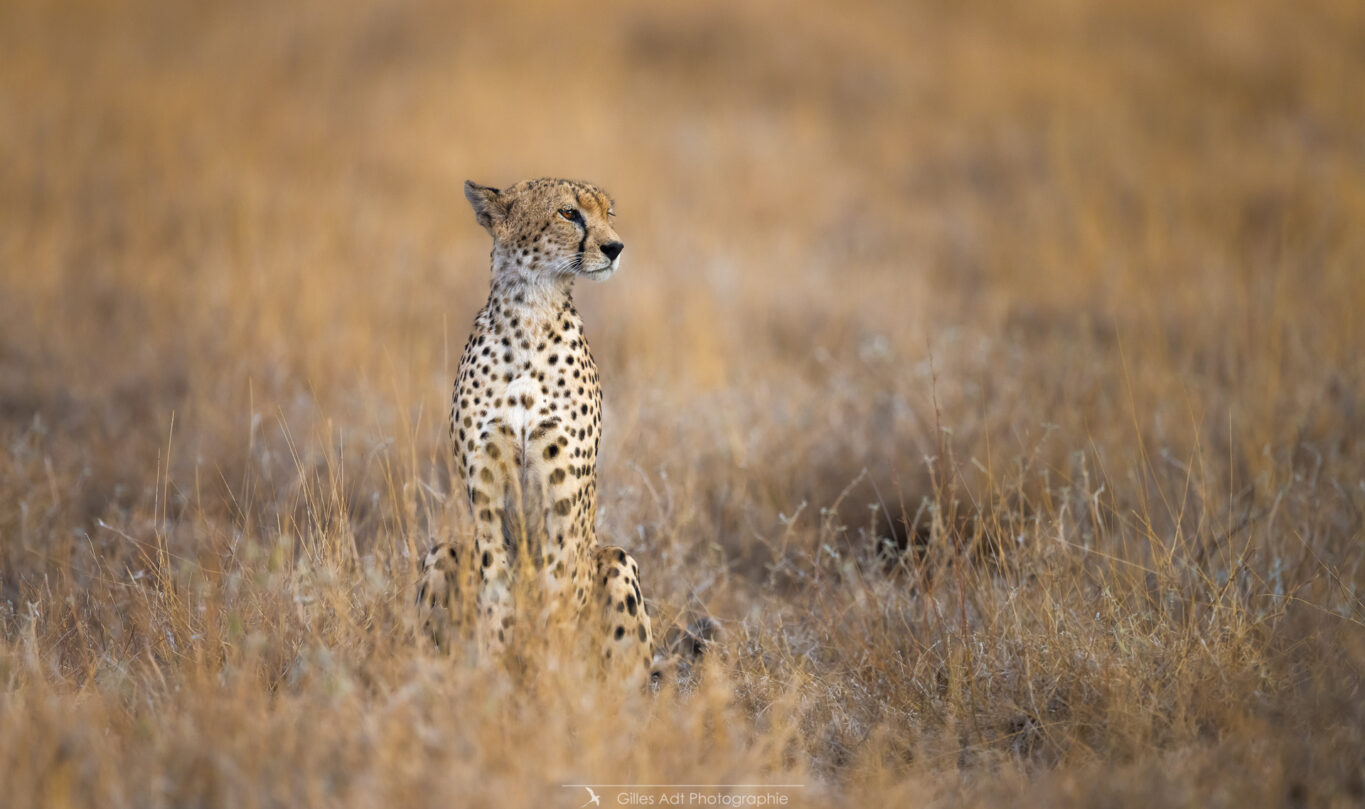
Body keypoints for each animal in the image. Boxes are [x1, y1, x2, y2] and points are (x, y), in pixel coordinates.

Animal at [412, 180, 652, 684]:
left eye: (609, 214)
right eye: (569, 213)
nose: (615, 247)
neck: (529, 315)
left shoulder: (565, 493)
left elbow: (559, 590)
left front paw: (552, 672)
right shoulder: (485, 489)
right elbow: (497, 591)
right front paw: (495, 671)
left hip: (617, 560)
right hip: (443, 550)